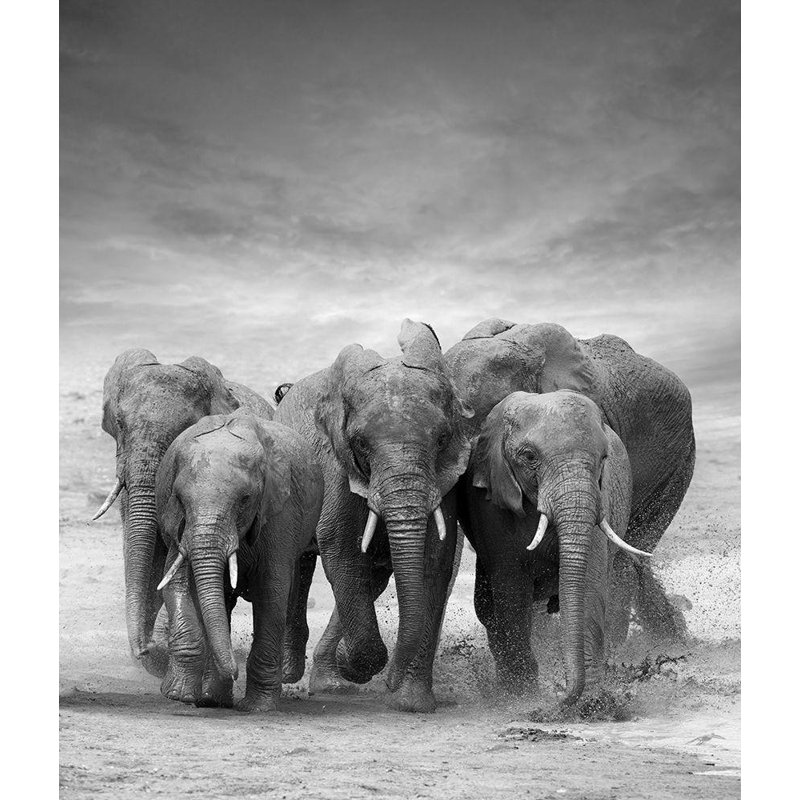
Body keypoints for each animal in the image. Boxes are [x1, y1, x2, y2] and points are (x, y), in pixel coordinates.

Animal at [154, 411, 322, 712]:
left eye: (245, 499)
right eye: (180, 499)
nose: (234, 671)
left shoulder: (280, 512)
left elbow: (272, 589)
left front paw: (258, 707)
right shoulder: (177, 524)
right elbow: (177, 582)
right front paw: (179, 695)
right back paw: (211, 697)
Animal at [273, 319, 474, 712]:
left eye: (442, 440)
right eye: (361, 444)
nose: (391, 684)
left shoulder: (444, 481)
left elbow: (434, 557)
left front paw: (412, 703)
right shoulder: (335, 464)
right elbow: (340, 545)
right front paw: (356, 664)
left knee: (371, 578)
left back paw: (332, 682)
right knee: (299, 565)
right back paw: (291, 674)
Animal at [464, 389, 651, 704]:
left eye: (603, 458)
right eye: (529, 457)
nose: (560, 696)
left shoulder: (600, 499)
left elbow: (588, 585)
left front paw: (593, 703)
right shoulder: (492, 505)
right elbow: (511, 590)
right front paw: (523, 695)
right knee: (488, 608)